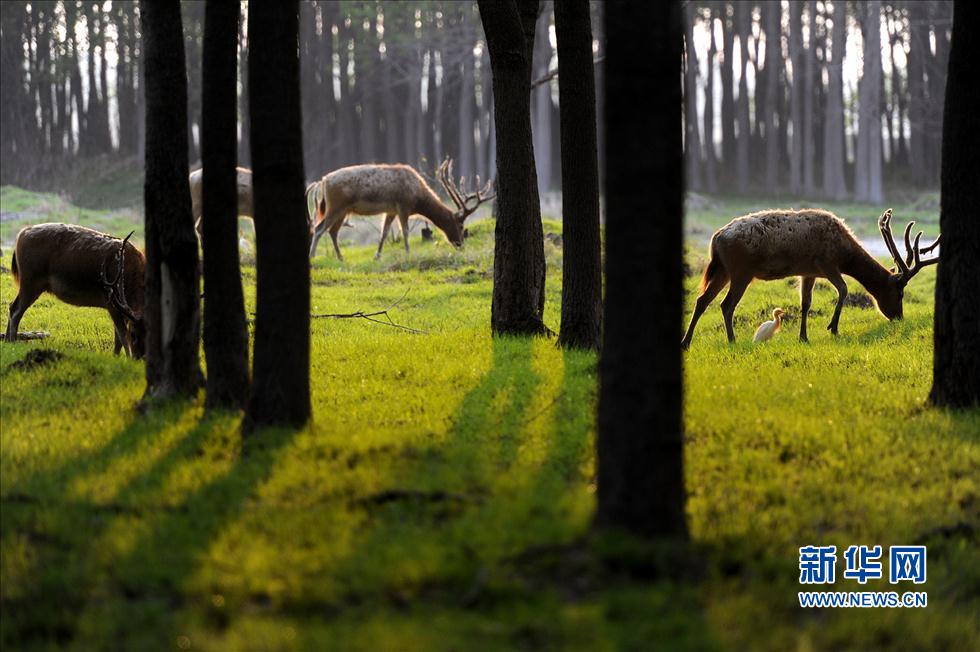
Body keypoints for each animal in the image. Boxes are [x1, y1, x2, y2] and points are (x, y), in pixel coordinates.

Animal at [3, 223, 145, 356]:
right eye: (133, 334)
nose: (139, 357)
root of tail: (21, 234)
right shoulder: (111, 302)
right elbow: (121, 335)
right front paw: (127, 357)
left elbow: (118, 339)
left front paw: (116, 357)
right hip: (30, 281)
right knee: (16, 310)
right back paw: (13, 341)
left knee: (11, 305)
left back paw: (7, 341)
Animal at [308, 158, 494, 260]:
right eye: (461, 225)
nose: (460, 244)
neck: (418, 199)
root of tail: (323, 181)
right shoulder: (403, 206)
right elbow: (405, 231)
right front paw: (408, 252)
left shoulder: (391, 210)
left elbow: (384, 233)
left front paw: (377, 256)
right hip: (336, 206)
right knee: (319, 228)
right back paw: (313, 255)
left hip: (342, 210)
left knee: (332, 231)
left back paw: (340, 257)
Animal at [680, 210, 940, 348]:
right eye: (900, 292)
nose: (899, 317)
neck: (844, 253)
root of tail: (715, 238)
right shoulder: (826, 263)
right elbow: (843, 289)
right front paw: (833, 328)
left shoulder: (808, 271)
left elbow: (806, 303)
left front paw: (803, 337)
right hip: (741, 271)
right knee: (726, 304)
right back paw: (732, 340)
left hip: (723, 270)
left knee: (702, 300)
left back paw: (686, 342)